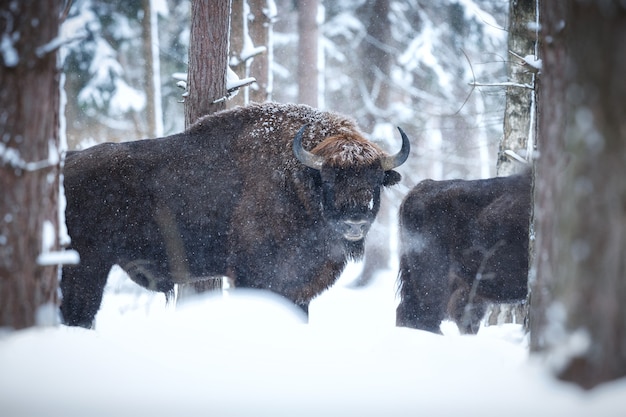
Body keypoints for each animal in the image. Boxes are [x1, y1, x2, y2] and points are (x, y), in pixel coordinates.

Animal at [62, 102, 410, 326]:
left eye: (375, 180)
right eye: (328, 178)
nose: (355, 221)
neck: (296, 180)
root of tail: (65, 163)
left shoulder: (299, 287)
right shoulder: (254, 276)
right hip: (87, 264)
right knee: (78, 312)